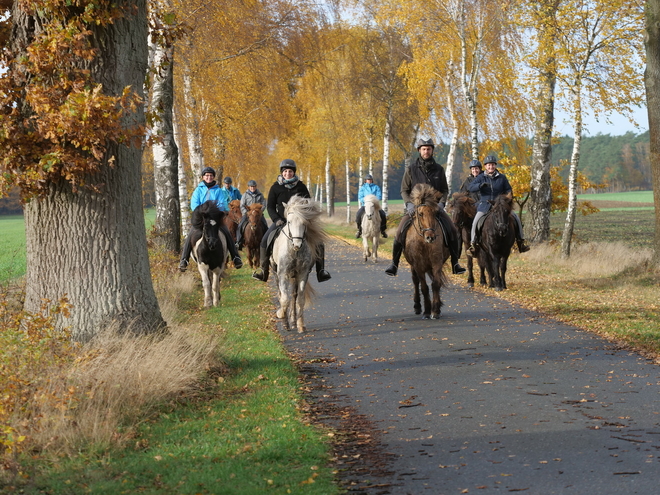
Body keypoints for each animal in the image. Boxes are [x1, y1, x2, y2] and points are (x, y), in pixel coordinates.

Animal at [270, 195, 328, 334]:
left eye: (304, 223)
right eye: (289, 222)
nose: (297, 244)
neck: (294, 251)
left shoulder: (302, 274)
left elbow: (300, 300)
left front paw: (301, 325)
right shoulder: (282, 274)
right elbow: (284, 299)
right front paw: (281, 316)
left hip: (295, 276)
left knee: (294, 296)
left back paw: (292, 321)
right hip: (275, 272)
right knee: (281, 295)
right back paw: (286, 321)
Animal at [404, 184, 452, 320]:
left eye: (435, 213)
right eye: (420, 214)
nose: (430, 237)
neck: (424, 243)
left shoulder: (437, 263)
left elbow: (436, 284)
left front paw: (435, 310)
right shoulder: (418, 265)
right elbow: (424, 287)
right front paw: (426, 311)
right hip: (413, 266)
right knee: (415, 282)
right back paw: (417, 307)